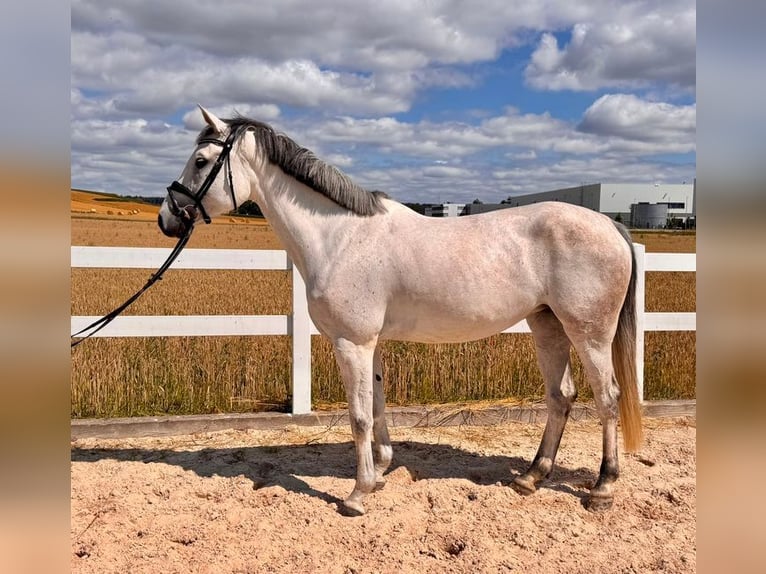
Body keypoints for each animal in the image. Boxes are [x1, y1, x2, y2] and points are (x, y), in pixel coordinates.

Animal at [159, 106, 643, 516]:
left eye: (201, 160)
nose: (167, 218)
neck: (341, 238)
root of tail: (611, 224)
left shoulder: (351, 343)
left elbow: (357, 417)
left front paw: (356, 495)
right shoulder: (369, 344)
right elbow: (376, 408)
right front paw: (379, 474)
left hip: (589, 333)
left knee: (607, 398)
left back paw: (602, 488)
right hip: (548, 325)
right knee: (562, 396)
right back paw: (531, 477)